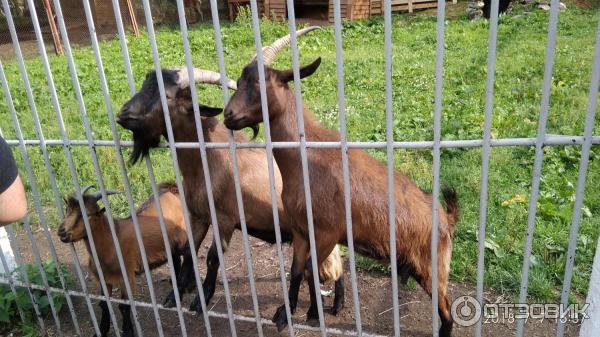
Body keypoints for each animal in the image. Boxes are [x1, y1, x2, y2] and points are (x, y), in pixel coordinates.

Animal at [116, 63, 346, 316]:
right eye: (145, 84)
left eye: (167, 96)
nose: (124, 114)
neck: (208, 159)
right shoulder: (198, 216)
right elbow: (188, 251)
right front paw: (176, 295)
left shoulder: (225, 219)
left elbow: (212, 258)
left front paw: (201, 300)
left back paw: (335, 304)